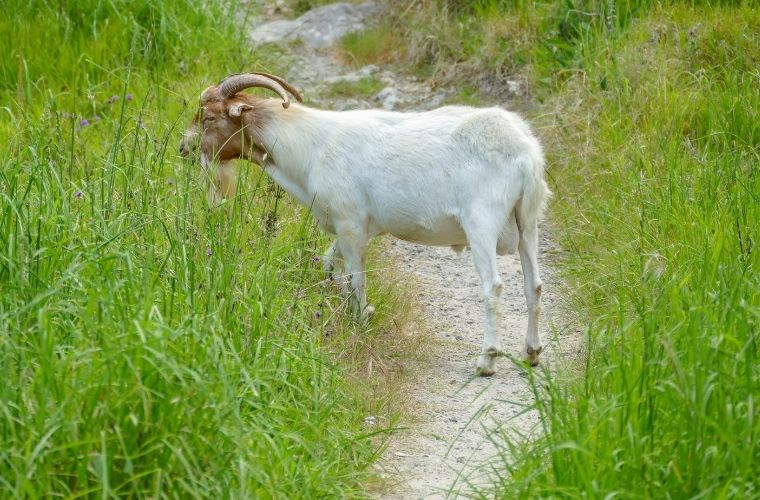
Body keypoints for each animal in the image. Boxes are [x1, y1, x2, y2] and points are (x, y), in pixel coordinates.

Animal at [180, 72, 548, 374]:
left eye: (209, 116)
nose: (184, 147)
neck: (313, 144)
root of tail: (526, 153)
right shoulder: (358, 227)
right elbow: (330, 264)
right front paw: (357, 306)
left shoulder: (350, 223)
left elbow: (357, 277)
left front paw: (360, 319)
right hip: (527, 225)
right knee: (534, 285)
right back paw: (531, 353)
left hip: (481, 223)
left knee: (493, 287)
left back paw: (487, 360)